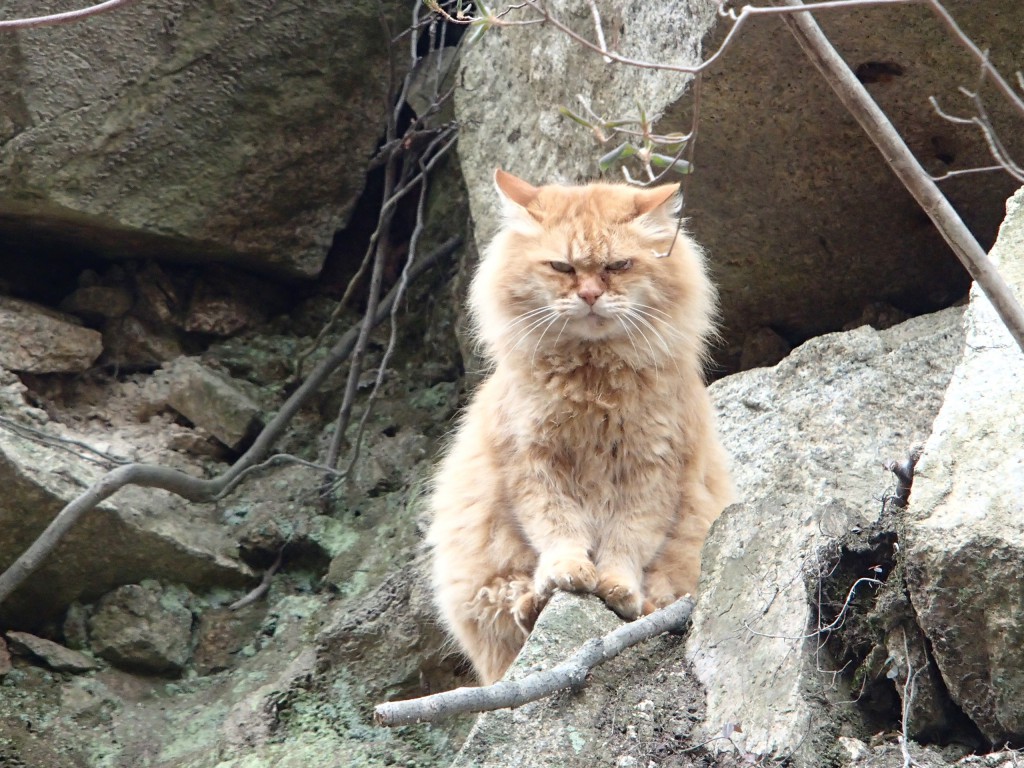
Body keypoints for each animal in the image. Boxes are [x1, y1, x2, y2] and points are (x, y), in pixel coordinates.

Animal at [428, 169, 733, 684]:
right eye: (562, 267)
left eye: (618, 265)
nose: (590, 296)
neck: (593, 387)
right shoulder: (533, 467)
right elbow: (559, 532)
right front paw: (570, 573)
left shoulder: (652, 473)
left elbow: (627, 541)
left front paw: (616, 586)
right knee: (512, 607)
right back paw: (535, 602)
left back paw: (643, 607)